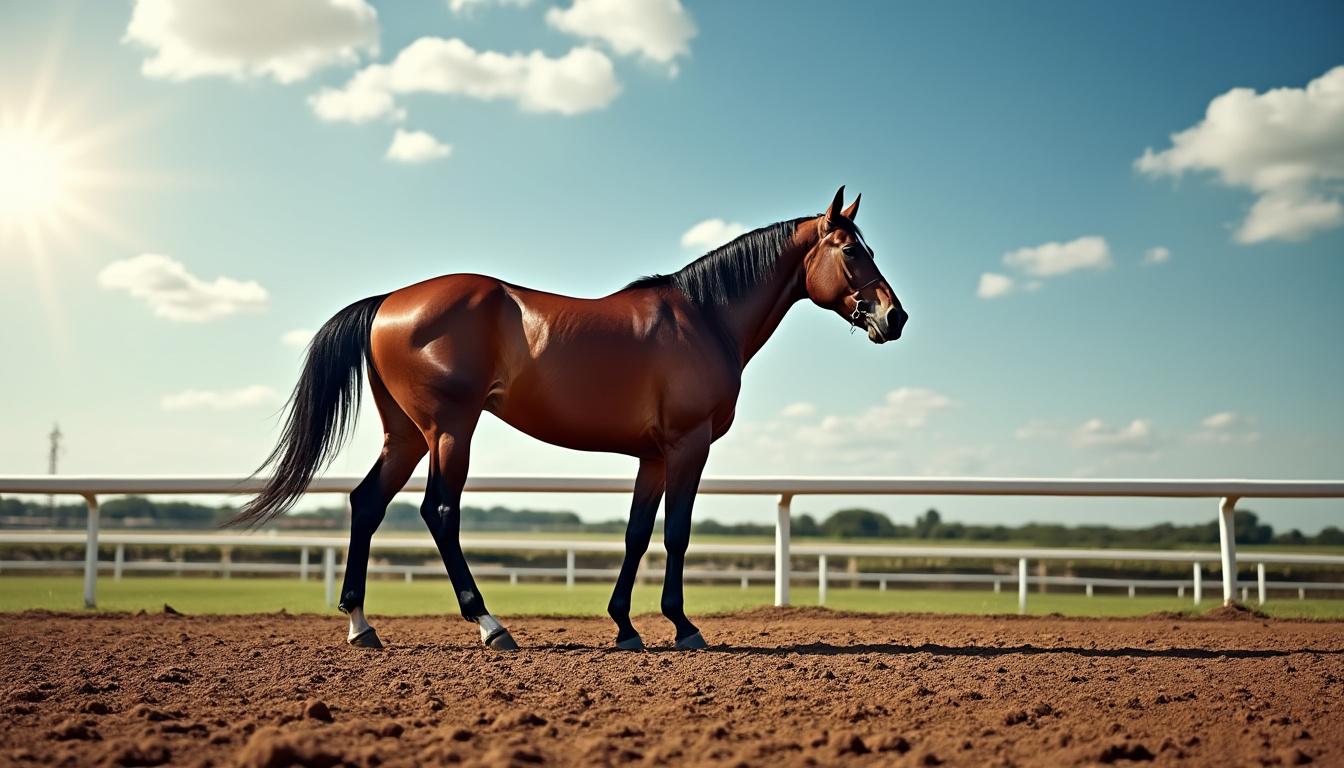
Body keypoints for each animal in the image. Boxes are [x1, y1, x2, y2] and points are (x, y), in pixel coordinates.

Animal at [226, 186, 907, 651]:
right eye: (850, 250)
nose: (893, 316)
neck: (704, 317)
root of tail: (389, 301)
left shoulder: (652, 455)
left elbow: (637, 535)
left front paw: (626, 627)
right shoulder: (688, 446)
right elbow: (677, 534)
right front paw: (683, 625)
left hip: (407, 436)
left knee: (367, 503)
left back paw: (362, 626)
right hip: (450, 431)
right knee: (439, 511)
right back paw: (490, 626)